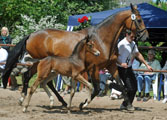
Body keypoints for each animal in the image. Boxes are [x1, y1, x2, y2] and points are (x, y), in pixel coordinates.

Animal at [2, 3, 149, 110]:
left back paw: (59, 102)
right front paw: (83, 104)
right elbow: (96, 88)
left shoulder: (111, 66)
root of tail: (31, 35)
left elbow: (122, 85)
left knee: (42, 81)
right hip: (40, 63)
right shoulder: (94, 68)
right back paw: (26, 100)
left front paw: (129, 105)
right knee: (31, 77)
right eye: (139, 20)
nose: (145, 36)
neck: (102, 39)